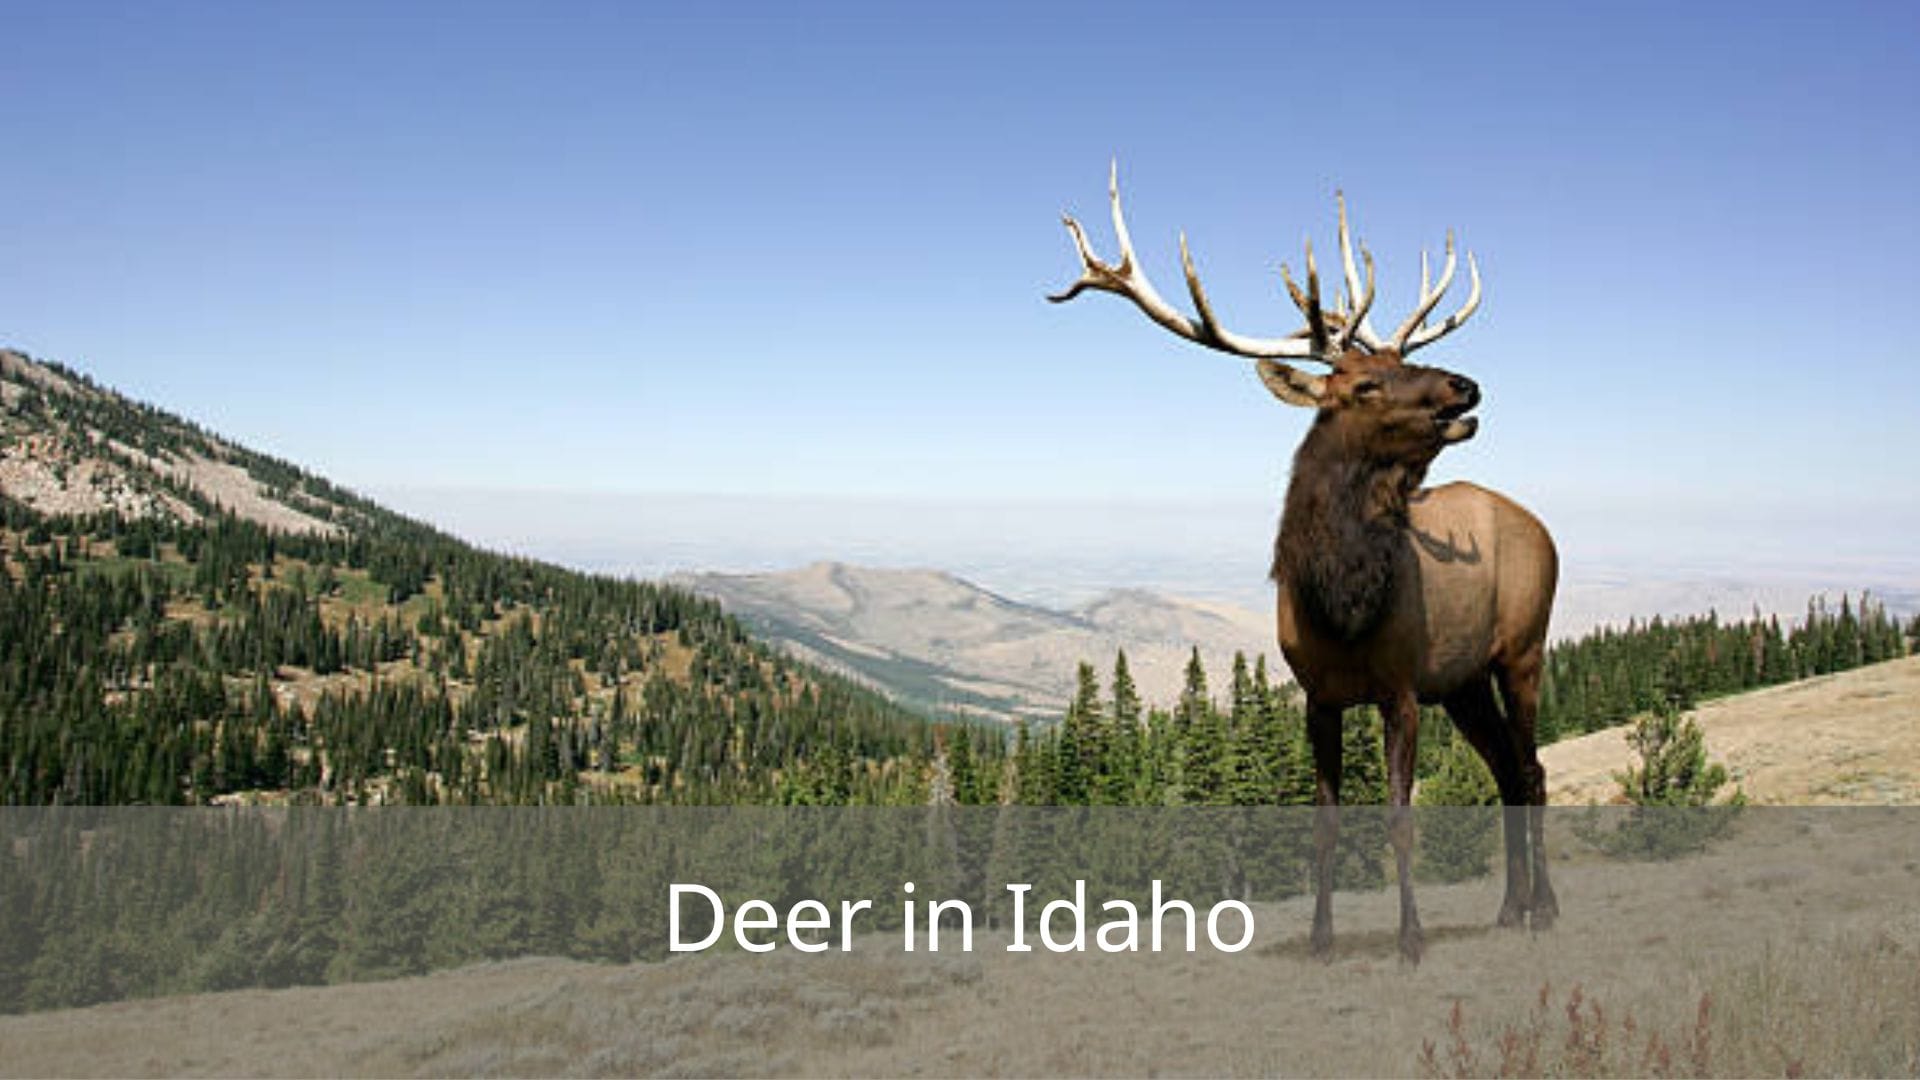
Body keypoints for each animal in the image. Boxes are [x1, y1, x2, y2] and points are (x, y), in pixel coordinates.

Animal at [1049, 166, 1558, 964]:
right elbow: (1323, 822)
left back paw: (1546, 909)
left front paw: (1410, 939)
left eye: (1401, 360)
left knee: (1535, 769)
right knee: (1508, 770)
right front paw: (1322, 940)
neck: (1340, 603)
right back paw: (1511, 908)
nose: (1465, 385)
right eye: (1365, 384)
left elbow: (1399, 818)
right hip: (1465, 680)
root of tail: (1541, 527)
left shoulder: (1400, 687)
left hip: (1525, 648)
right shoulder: (1320, 694)